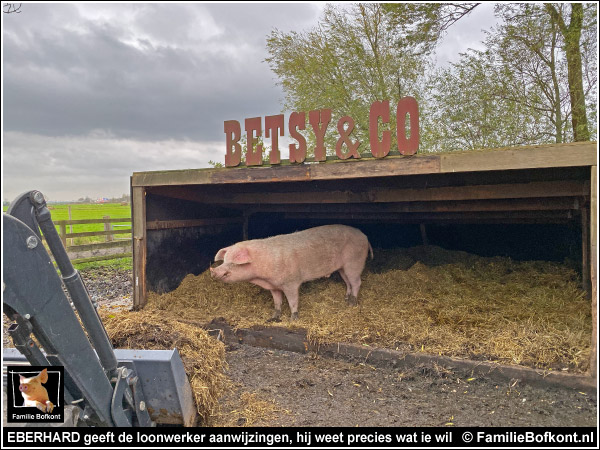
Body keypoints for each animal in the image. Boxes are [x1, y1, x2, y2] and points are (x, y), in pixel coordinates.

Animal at [210, 224, 370, 322]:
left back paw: (352, 303)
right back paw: (346, 298)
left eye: (233, 262)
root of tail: (364, 235)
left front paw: (293, 319)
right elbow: (277, 302)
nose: (213, 271)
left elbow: (293, 301)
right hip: (343, 268)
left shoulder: (291, 282)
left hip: (354, 262)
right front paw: (273, 317)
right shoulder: (273, 286)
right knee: (348, 282)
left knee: (357, 282)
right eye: (224, 260)